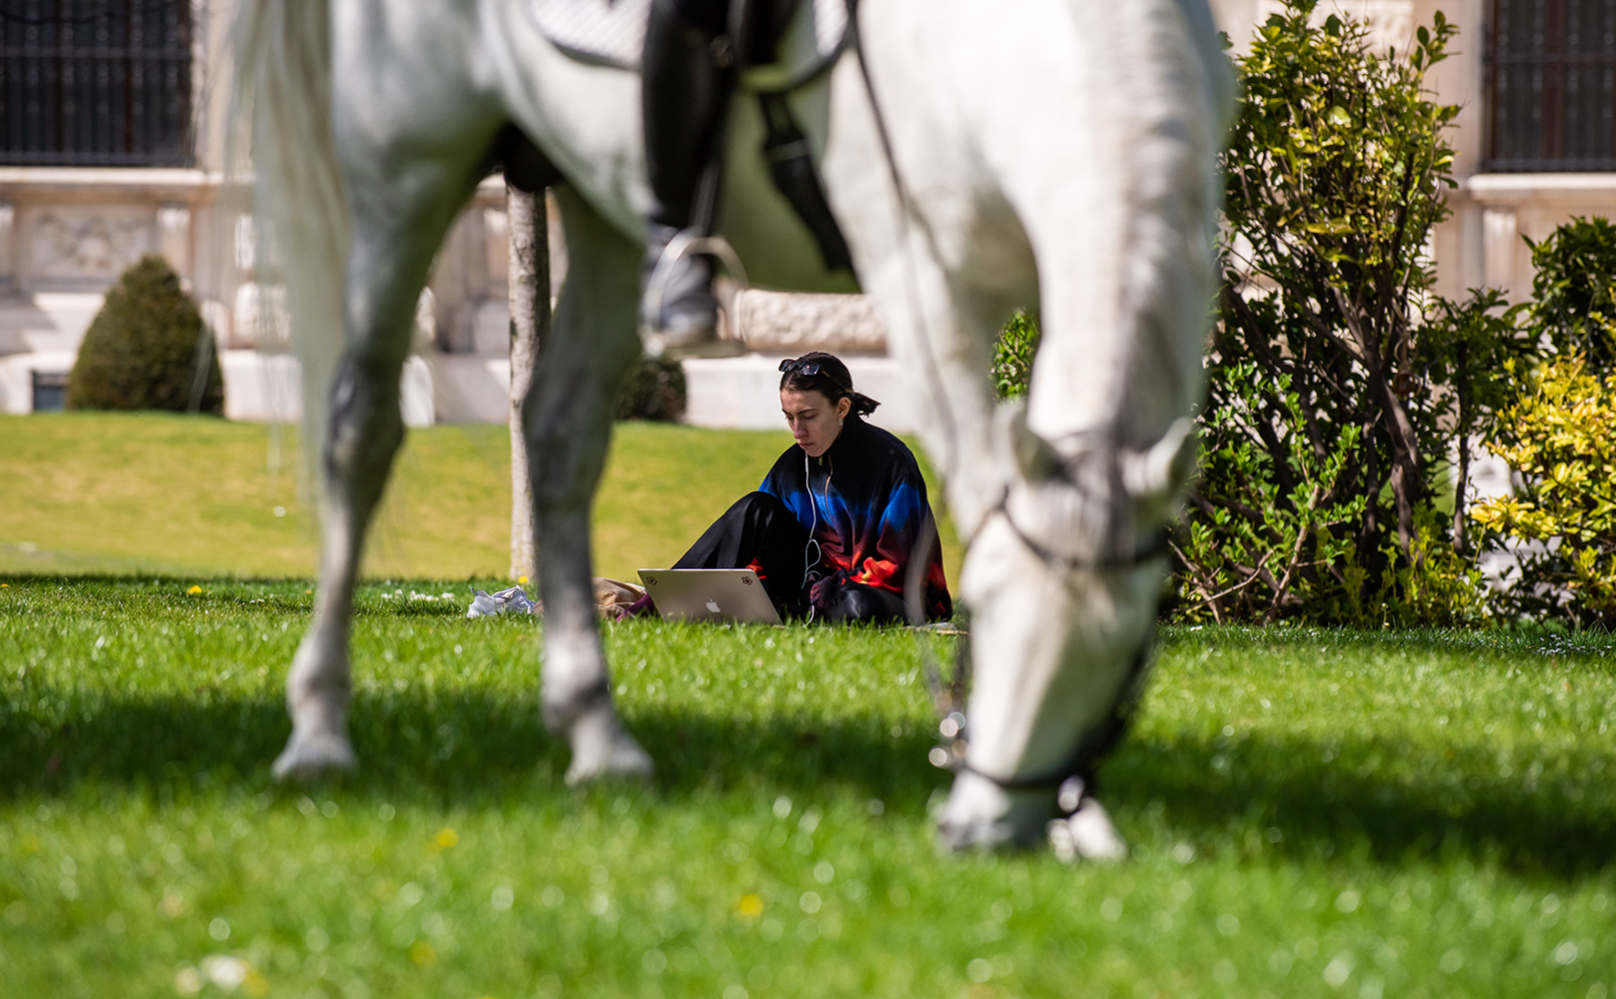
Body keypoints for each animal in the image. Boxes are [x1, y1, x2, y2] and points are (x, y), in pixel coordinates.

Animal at [235, 0, 1221, 847]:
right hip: (409, 169)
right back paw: (319, 733)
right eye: (994, 609)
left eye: (1132, 652)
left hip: (602, 199)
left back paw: (598, 733)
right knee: (363, 429)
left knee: (556, 437)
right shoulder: (920, 274)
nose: (991, 825)